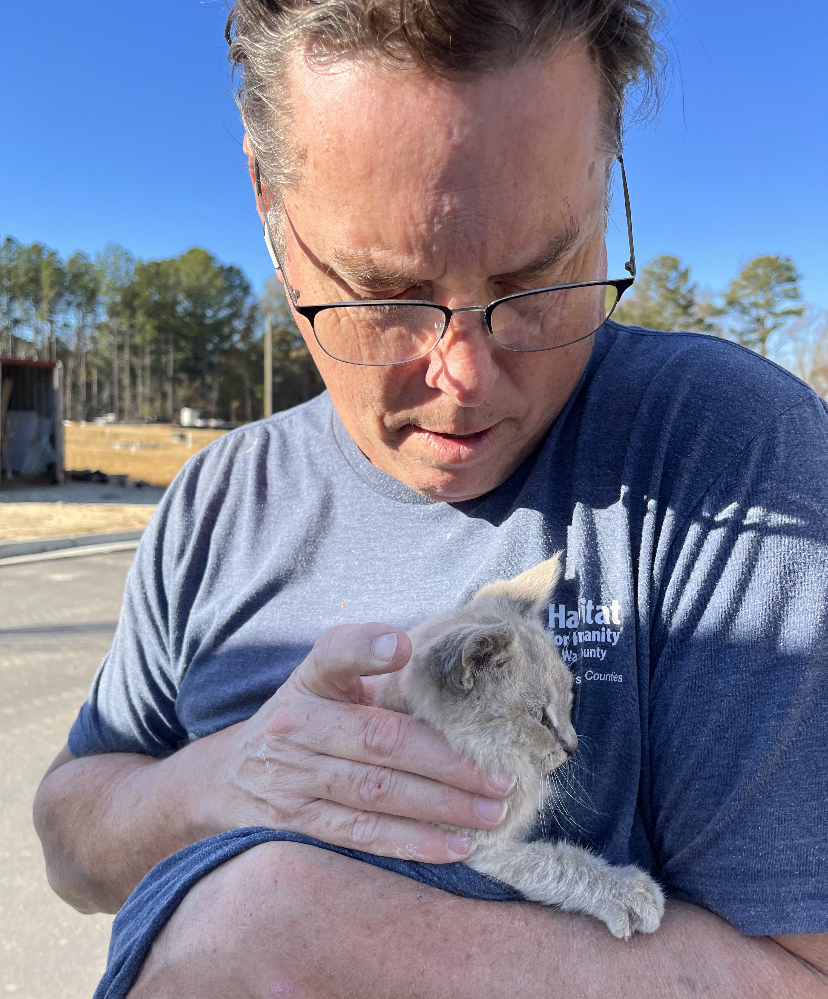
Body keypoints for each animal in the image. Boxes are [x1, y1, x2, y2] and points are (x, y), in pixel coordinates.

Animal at [376, 556, 668, 936]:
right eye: (537, 716)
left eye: (568, 699)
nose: (573, 746)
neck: (508, 763)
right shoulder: (474, 849)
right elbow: (558, 864)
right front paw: (626, 891)